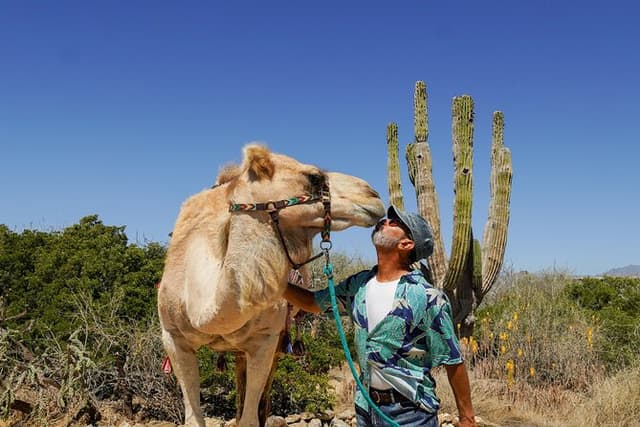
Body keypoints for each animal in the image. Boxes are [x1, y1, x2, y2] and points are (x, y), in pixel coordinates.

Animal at [157, 144, 384, 427]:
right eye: (314, 177)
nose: (373, 195)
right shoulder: (173, 338)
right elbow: (193, 418)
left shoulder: (265, 339)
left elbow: (250, 418)